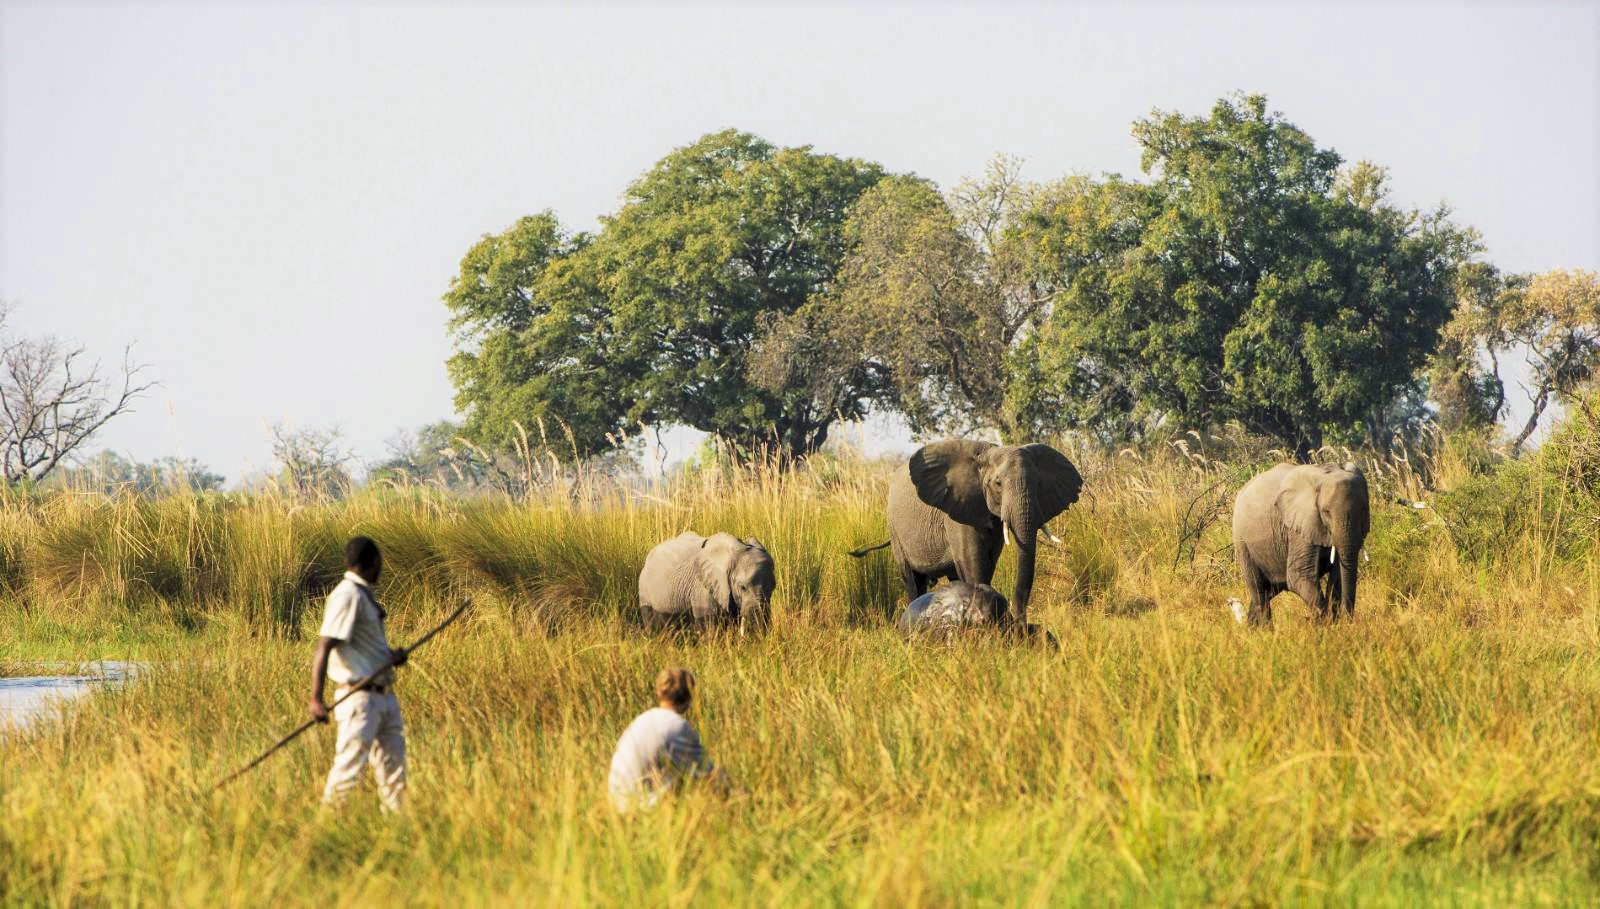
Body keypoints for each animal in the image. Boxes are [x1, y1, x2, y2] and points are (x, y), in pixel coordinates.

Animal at [855, 440, 1083, 625]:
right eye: (998, 484)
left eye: (1038, 484)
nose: (1021, 625)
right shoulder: (958, 510)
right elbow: (974, 562)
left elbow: (988, 562)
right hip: (895, 530)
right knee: (912, 579)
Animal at [1232, 462, 1370, 625]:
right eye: (1326, 512)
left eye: (1364, 509)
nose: (1348, 622)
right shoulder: (1298, 527)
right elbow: (1299, 575)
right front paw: (1325, 626)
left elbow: (1338, 576)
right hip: (1242, 542)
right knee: (1259, 591)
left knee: (1269, 591)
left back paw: (1250, 628)